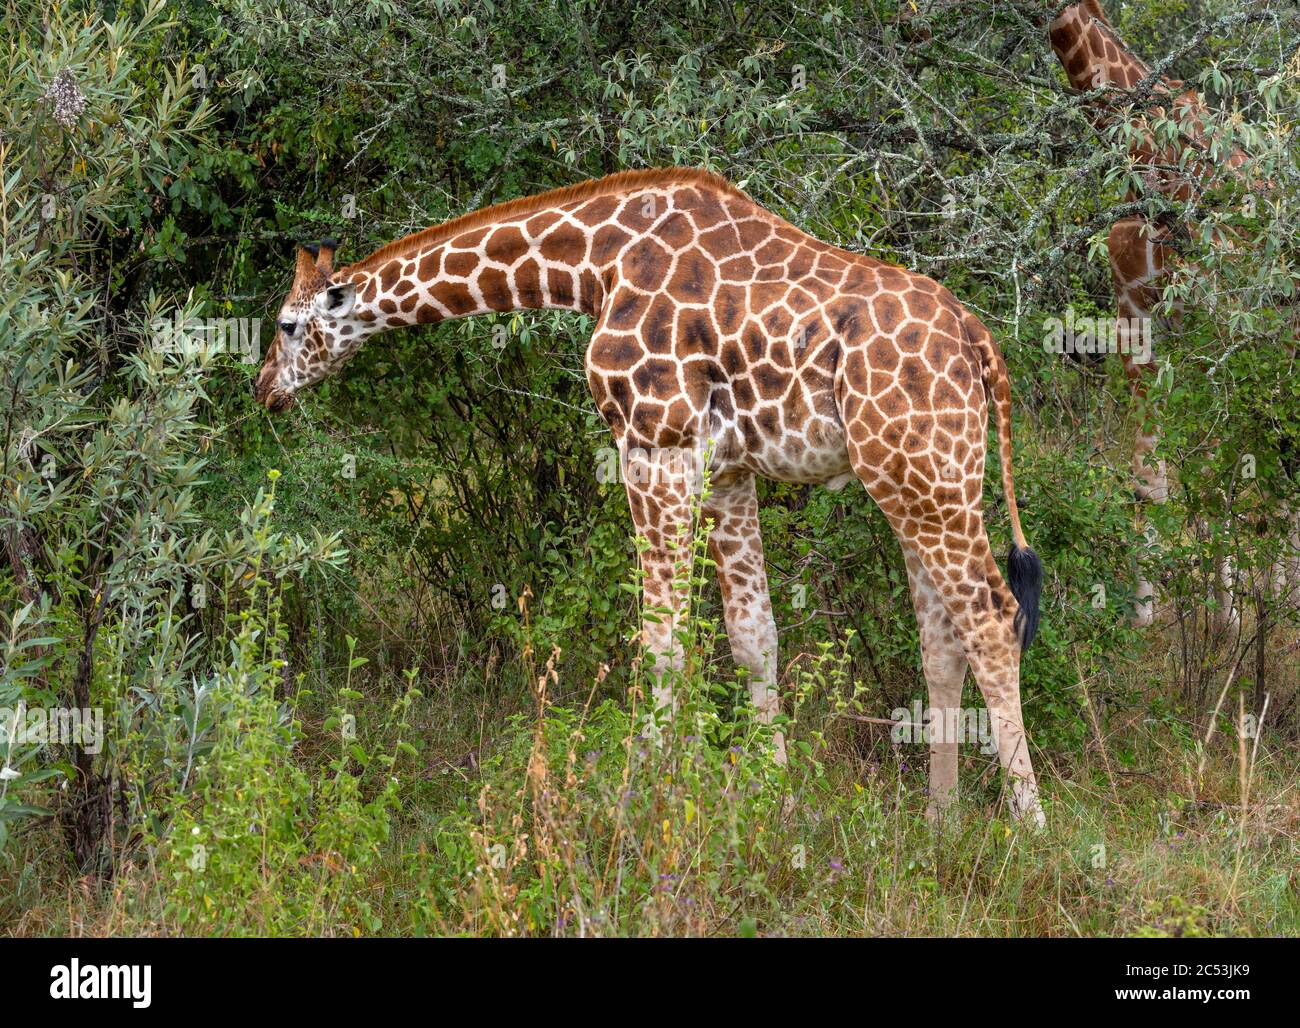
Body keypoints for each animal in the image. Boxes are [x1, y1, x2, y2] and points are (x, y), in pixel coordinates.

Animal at [253, 168, 1046, 823]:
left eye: (287, 325)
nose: (264, 390)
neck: (594, 265)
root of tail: (979, 341)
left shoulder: (651, 443)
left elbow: (663, 638)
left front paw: (654, 791)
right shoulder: (726, 467)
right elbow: (752, 635)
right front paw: (774, 797)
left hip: (924, 475)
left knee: (991, 617)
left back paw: (1028, 829)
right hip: (922, 477)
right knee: (942, 639)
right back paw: (941, 821)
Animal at [1047, 1, 1256, 626]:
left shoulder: (1217, 323)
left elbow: (1217, 465)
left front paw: (1228, 617)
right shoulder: (1137, 319)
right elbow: (1147, 478)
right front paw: (1142, 614)